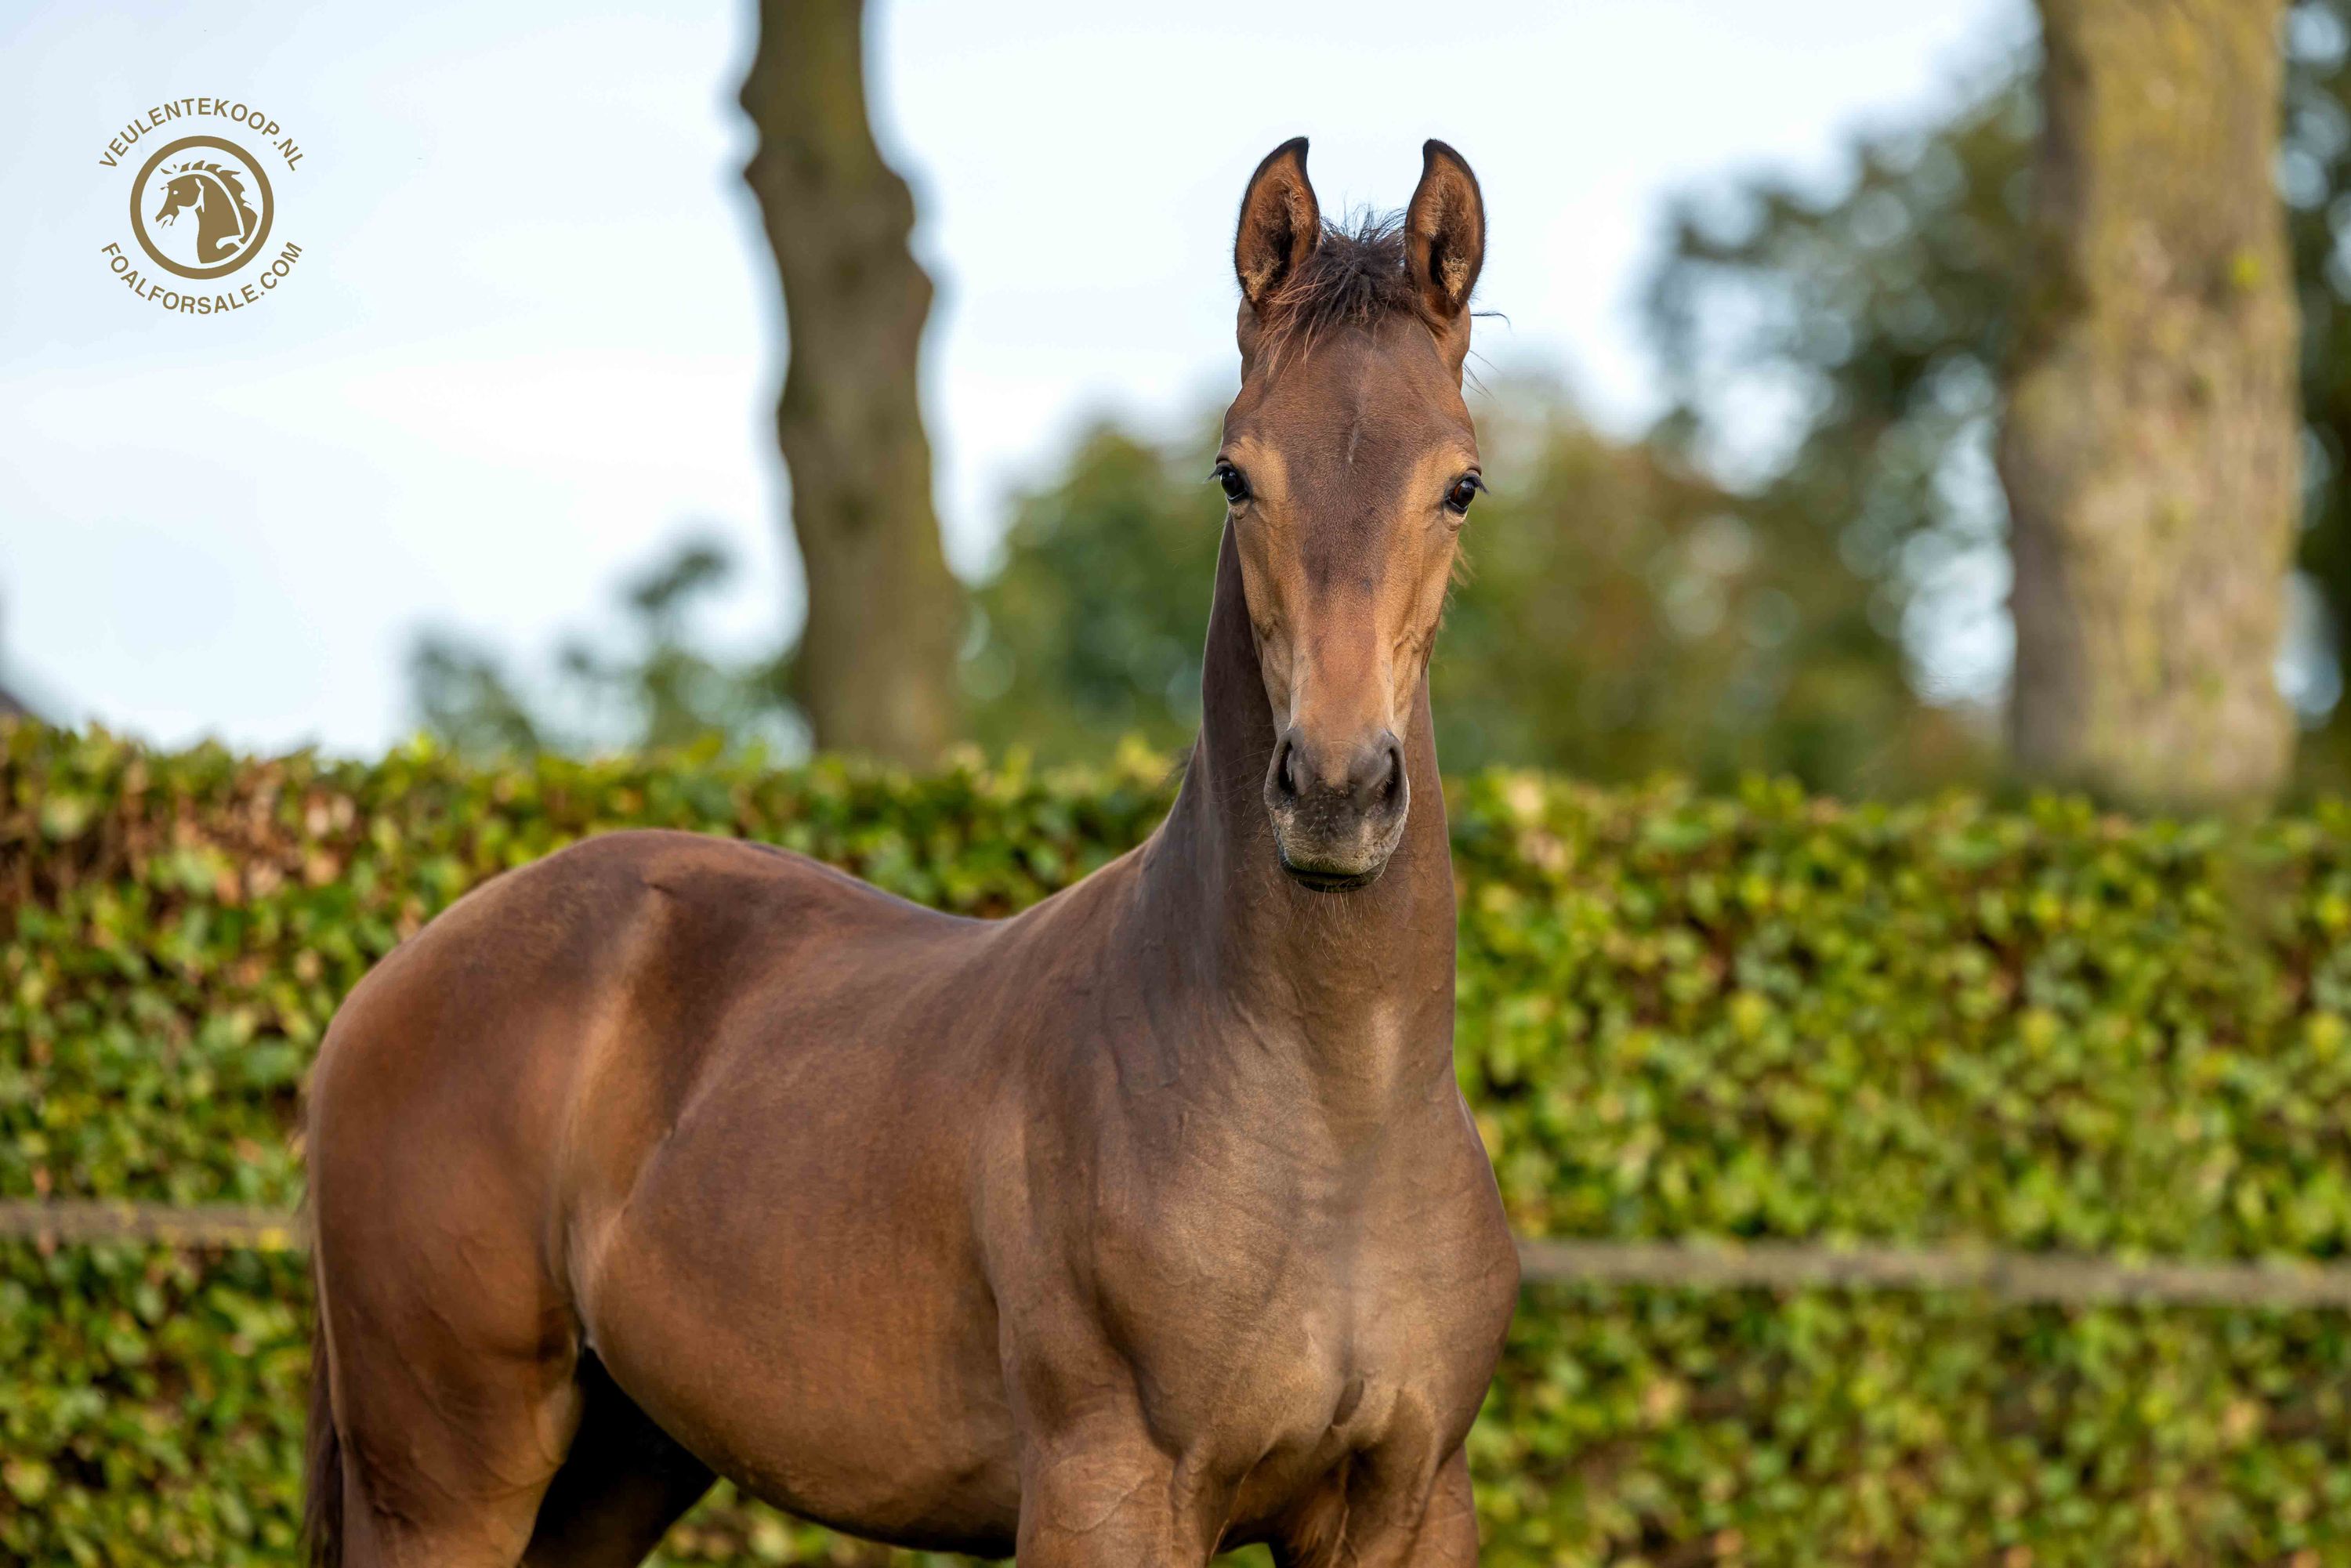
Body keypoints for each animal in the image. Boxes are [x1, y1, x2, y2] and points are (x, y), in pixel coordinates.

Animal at [303, 137, 1518, 1568]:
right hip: (446, 1480)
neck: (1329, 1120)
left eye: (1459, 484)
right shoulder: (1111, 1492)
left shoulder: (1410, 1505)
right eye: (1236, 474)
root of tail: (391, 983)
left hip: (618, 1463)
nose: (1334, 792)